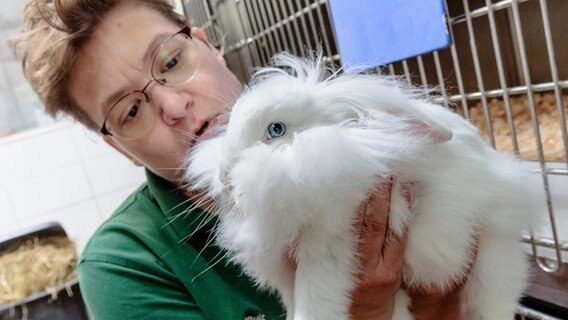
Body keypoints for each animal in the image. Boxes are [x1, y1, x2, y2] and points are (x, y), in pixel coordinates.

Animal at [186, 53, 532, 320]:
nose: (224, 177)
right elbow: (293, 298)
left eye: (276, 129)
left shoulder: (331, 245)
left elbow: (315, 298)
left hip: (492, 258)